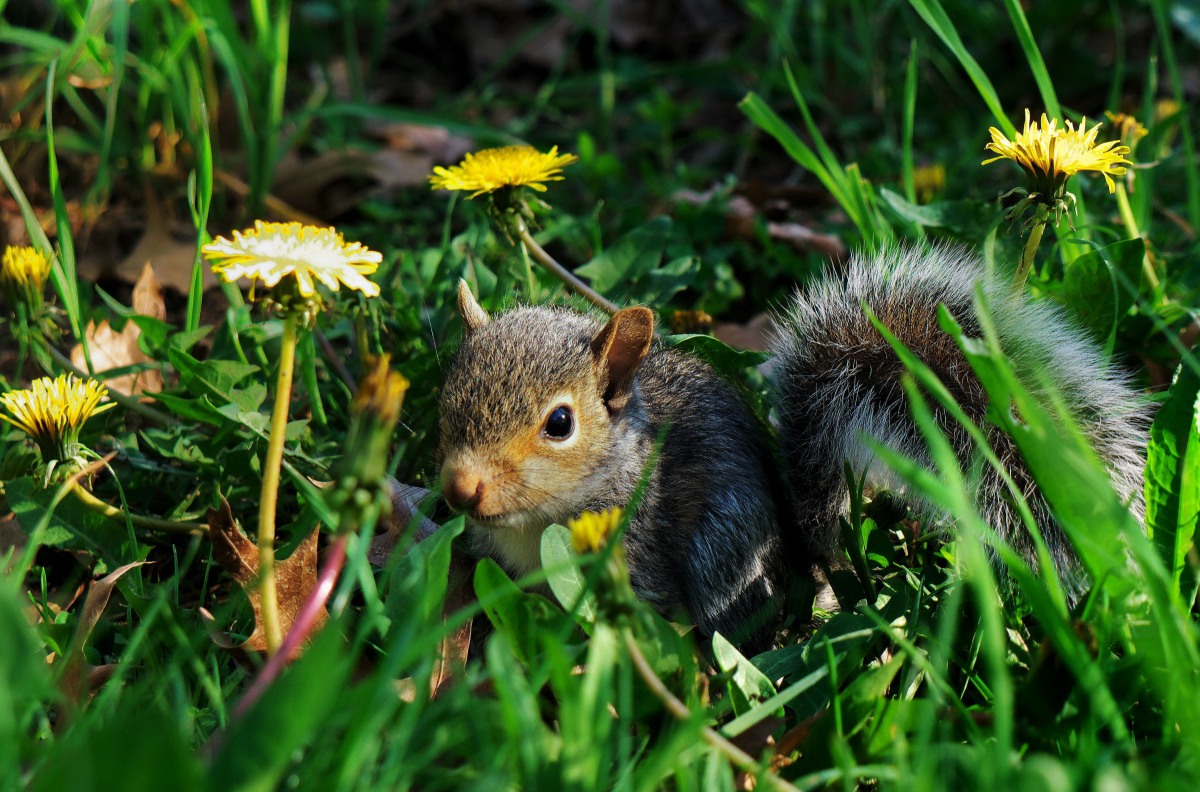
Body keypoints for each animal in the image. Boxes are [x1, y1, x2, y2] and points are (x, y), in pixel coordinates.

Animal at [436, 244, 1147, 648]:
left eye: (560, 423)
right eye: (448, 389)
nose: (460, 489)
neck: (536, 527)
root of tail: (811, 562)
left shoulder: (638, 560)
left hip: (722, 551)